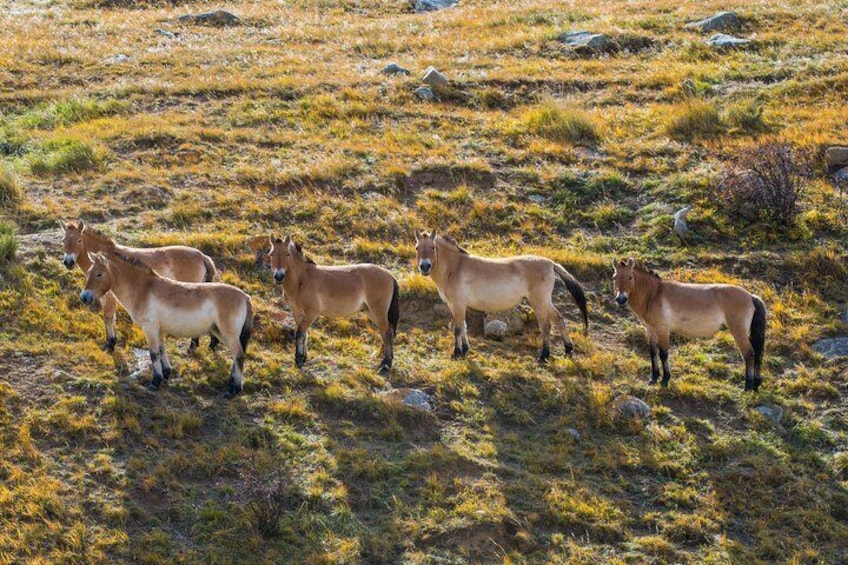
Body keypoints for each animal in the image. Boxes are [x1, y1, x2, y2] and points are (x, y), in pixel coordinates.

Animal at [60, 220, 219, 352]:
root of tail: (201, 256)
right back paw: (211, 344)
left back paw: (194, 346)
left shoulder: (110, 297)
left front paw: (111, 344)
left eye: (79, 240)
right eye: (63, 241)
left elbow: (108, 317)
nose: (68, 262)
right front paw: (109, 342)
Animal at [80, 251, 253, 396]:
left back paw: (234, 389)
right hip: (219, 332)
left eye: (99, 274)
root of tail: (244, 296)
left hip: (229, 334)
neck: (144, 289)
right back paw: (231, 383)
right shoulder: (158, 330)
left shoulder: (150, 329)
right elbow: (162, 350)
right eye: (88, 273)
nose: (84, 297)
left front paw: (155, 382)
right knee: (236, 356)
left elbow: (154, 353)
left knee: (239, 355)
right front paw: (166, 374)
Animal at [268, 235, 400, 372]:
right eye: (271, 254)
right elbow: (303, 334)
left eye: (287, 254)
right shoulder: (297, 312)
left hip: (378, 311)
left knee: (386, 332)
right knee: (387, 331)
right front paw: (302, 358)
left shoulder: (312, 313)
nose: (278, 276)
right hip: (370, 311)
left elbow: (300, 333)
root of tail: (390, 276)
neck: (302, 279)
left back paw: (385, 364)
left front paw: (299, 360)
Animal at [412, 229, 588, 362]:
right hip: (545, 301)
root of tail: (550, 263)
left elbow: (458, 329)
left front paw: (456, 353)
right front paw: (465, 350)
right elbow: (464, 327)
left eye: (433, 247)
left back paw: (543, 356)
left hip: (539, 301)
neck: (455, 268)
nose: (425, 267)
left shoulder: (458, 304)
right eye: (416, 247)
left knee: (546, 325)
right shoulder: (454, 305)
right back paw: (568, 350)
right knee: (559, 319)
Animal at [608, 258, 768, 390]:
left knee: (749, 354)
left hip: (738, 332)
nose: (620, 299)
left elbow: (663, 354)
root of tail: (750, 296)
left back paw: (747, 387)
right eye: (614, 277)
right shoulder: (650, 330)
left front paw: (665, 380)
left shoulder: (663, 330)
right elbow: (653, 352)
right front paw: (653, 378)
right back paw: (755, 385)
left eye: (630, 277)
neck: (654, 294)